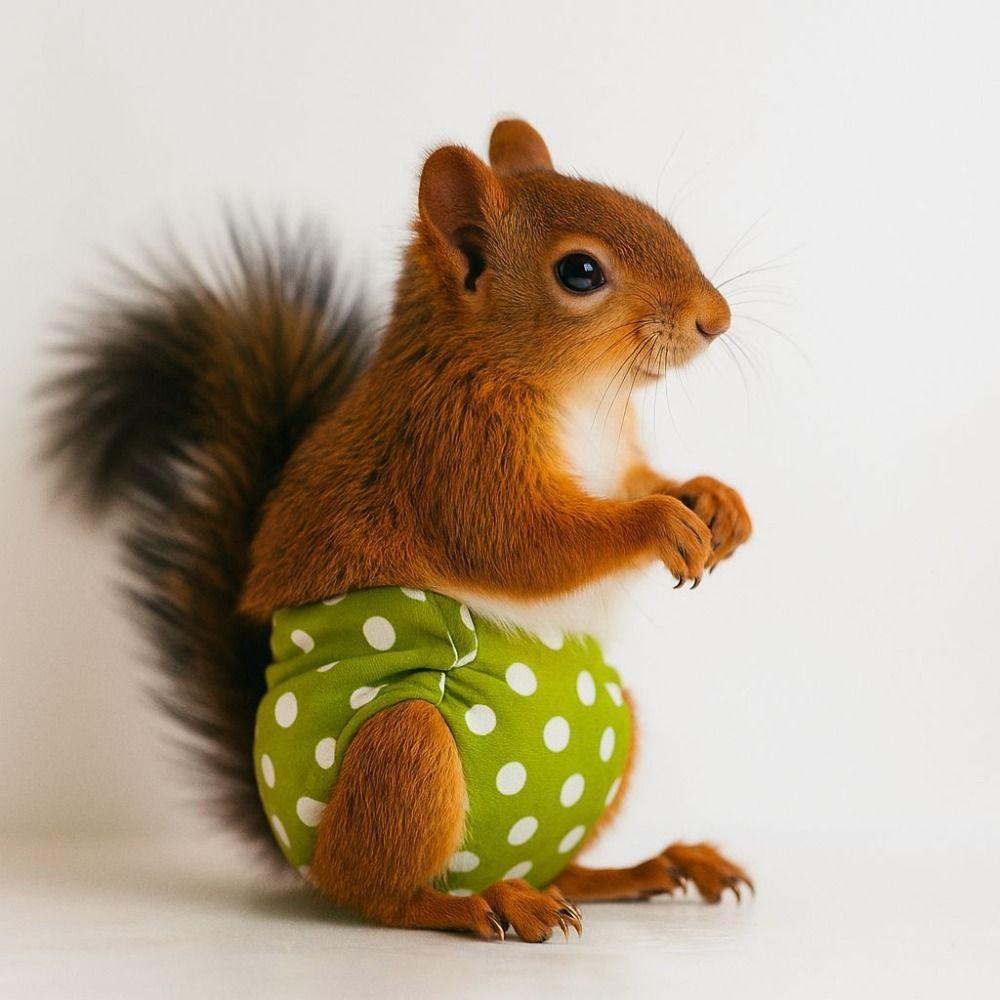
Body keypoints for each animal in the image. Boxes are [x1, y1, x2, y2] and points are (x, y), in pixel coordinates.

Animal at [43, 119, 754, 942]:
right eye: (580, 272)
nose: (716, 320)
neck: (578, 395)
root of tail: (301, 853)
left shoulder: (610, 458)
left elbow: (639, 481)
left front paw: (714, 500)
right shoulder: (453, 461)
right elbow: (524, 545)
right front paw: (660, 522)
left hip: (609, 731)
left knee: (557, 867)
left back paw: (642, 870)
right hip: (403, 749)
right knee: (381, 893)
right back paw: (482, 904)